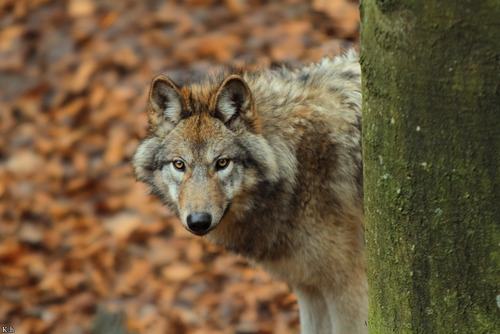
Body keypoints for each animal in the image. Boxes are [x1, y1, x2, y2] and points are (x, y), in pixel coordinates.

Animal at [133, 50, 368, 334]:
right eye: (179, 164)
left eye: (222, 163)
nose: (198, 222)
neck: (296, 168)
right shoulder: (308, 287)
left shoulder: (348, 287)